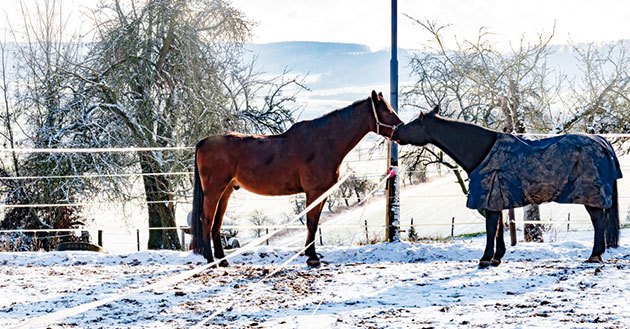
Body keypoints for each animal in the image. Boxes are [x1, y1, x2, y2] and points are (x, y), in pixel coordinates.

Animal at [190, 89, 404, 266]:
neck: (323, 142)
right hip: (213, 191)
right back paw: (211, 260)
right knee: (207, 220)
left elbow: (314, 223)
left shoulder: (322, 193)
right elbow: (311, 222)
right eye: (386, 111)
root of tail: (204, 141)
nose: (401, 130)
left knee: (217, 224)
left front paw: (310, 254)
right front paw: (312, 257)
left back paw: (222, 259)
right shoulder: (314, 192)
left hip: (225, 192)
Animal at [392, 106, 624, 268]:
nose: (395, 132)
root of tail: (602, 142)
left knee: (598, 222)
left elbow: (490, 228)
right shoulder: (496, 199)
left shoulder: (489, 197)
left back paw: (594, 255)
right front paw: (497, 257)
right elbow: (498, 228)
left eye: (414, 123)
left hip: (591, 196)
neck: (481, 150)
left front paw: (485, 259)